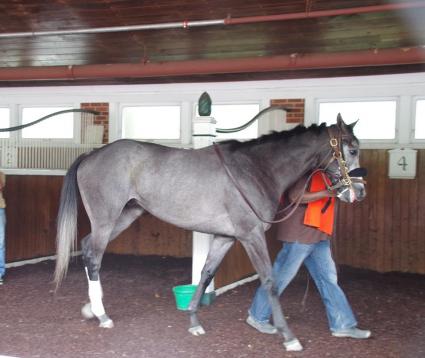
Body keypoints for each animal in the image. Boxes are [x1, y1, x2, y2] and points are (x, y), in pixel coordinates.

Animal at [53, 114, 364, 352]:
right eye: (351, 149)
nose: (359, 191)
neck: (255, 169)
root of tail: (91, 155)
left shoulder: (225, 238)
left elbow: (205, 274)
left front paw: (194, 322)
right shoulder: (250, 235)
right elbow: (269, 280)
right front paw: (289, 337)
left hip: (127, 215)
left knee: (87, 247)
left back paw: (92, 308)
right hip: (106, 218)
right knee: (94, 255)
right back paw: (102, 315)